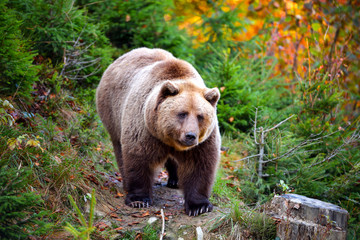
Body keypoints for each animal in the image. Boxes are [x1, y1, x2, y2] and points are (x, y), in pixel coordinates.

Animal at [95, 47, 219, 217]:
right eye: (182, 113)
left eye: (200, 116)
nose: (190, 136)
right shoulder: (144, 129)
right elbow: (138, 158)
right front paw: (139, 199)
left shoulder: (203, 141)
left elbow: (200, 165)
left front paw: (199, 206)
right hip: (112, 113)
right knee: (119, 149)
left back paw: (174, 181)